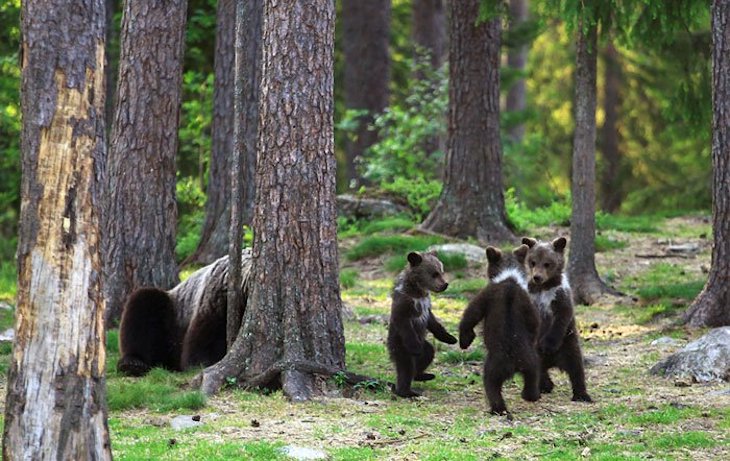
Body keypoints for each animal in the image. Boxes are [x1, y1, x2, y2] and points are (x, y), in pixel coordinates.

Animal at [117, 252, 249, 376]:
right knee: (143, 305)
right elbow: (206, 338)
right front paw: (201, 364)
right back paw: (132, 363)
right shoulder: (217, 297)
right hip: (172, 314)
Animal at [388, 251, 458, 398]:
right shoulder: (405, 305)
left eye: (441, 271)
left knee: (428, 353)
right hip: (400, 345)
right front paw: (416, 348)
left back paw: (423, 375)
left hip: (423, 344)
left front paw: (451, 338)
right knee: (406, 366)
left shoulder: (426, 305)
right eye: (434, 274)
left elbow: (434, 323)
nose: (445, 284)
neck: (418, 292)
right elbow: (404, 322)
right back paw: (407, 391)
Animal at [458, 245, 541, 415]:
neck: (509, 277)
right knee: (533, 375)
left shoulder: (486, 295)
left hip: (494, 365)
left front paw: (464, 340)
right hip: (531, 360)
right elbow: (535, 323)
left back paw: (497, 408)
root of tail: (513, 362)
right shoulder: (528, 304)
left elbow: (471, 314)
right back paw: (530, 395)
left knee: (491, 385)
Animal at [521, 236, 592, 402]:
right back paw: (544, 386)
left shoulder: (560, 296)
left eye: (547, 263)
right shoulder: (532, 297)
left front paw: (548, 345)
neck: (544, 287)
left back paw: (581, 394)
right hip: (535, 353)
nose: (537, 277)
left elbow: (561, 317)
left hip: (568, 344)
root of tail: (553, 362)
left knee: (576, 367)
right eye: (533, 262)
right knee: (537, 369)